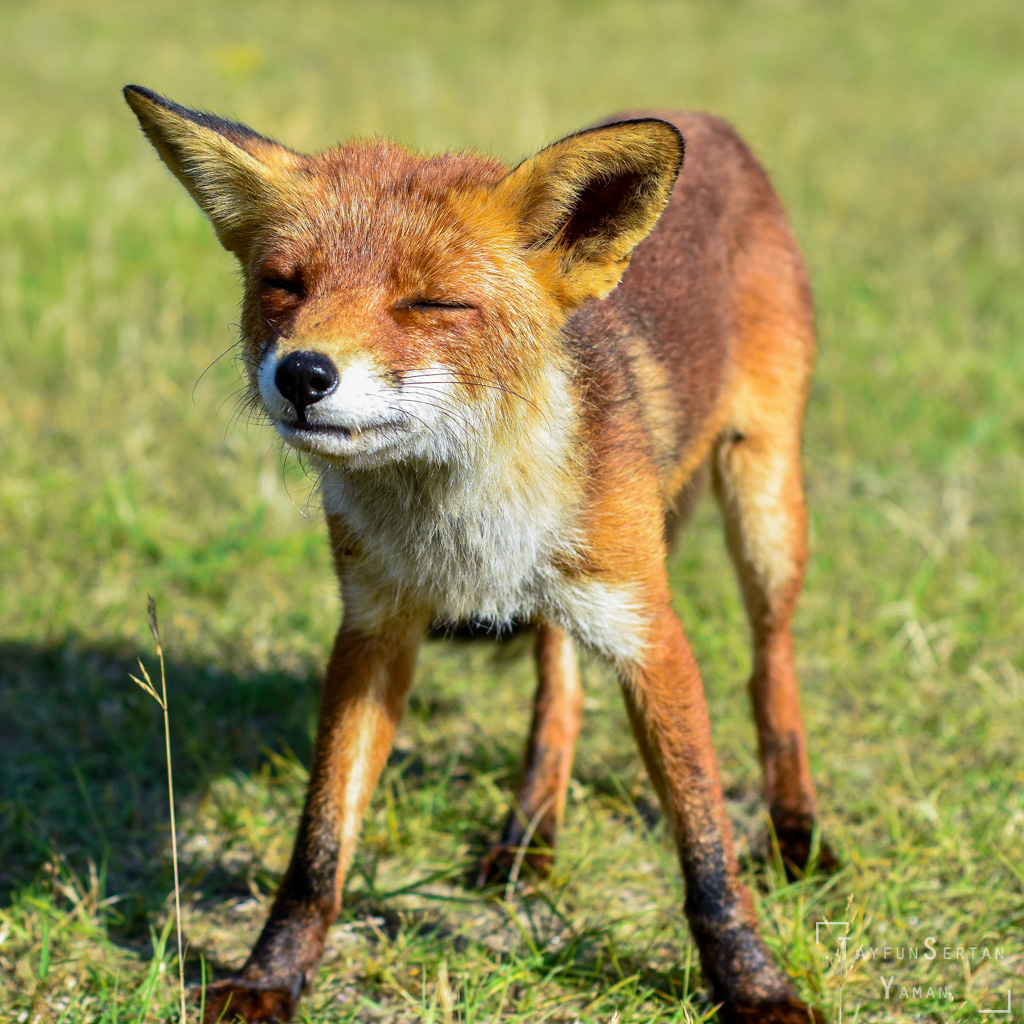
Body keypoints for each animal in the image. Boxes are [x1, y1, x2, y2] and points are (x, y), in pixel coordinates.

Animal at [124, 84, 836, 1023]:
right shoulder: (374, 630)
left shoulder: (650, 634)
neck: (468, 523)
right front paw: (272, 975)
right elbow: (318, 849)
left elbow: (706, 848)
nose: (303, 375)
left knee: (770, 668)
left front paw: (752, 984)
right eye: (286, 285)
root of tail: (699, 115)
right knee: (559, 688)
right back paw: (530, 833)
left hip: (764, 506)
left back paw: (796, 831)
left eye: (429, 304)